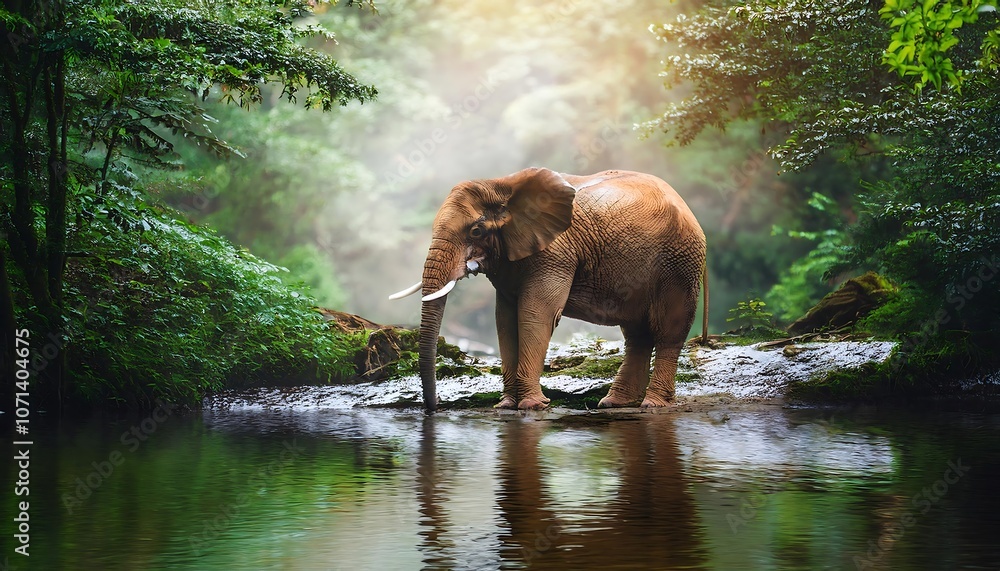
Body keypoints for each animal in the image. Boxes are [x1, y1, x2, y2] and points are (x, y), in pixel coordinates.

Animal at [389, 167, 708, 413]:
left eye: (476, 231)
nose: (435, 408)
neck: (500, 184)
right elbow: (505, 321)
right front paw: (506, 406)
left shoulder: (555, 253)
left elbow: (536, 314)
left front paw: (533, 407)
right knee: (637, 334)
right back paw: (613, 403)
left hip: (679, 263)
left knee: (669, 330)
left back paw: (653, 405)